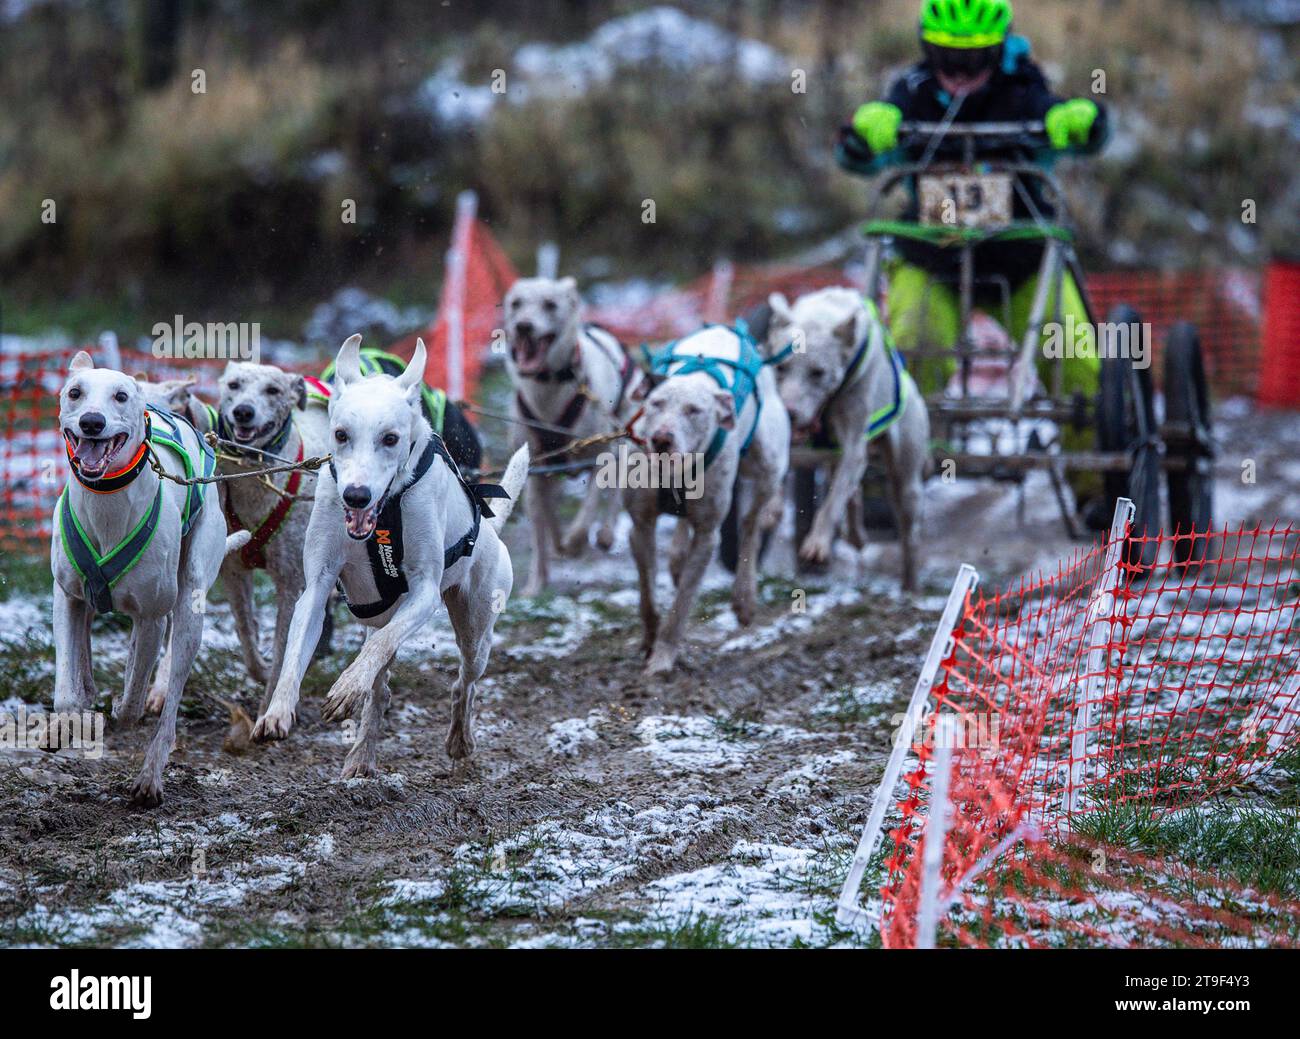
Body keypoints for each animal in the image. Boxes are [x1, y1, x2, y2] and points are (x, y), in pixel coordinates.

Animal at [53, 348, 250, 806]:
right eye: (75, 392)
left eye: (121, 396)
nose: (92, 422)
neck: (105, 499)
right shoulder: (65, 595)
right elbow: (67, 691)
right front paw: (73, 713)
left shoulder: (152, 616)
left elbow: (132, 701)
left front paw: (121, 709)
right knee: (87, 636)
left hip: (190, 606)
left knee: (169, 696)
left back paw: (150, 775)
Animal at [253, 338, 527, 775]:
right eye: (340, 434)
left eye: (391, 438)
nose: (356, 495)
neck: (383, 514)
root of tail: (491, 532)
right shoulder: (317, 586)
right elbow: (295, 653)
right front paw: (277, 711)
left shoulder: (424, 593)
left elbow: (377, 648)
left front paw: (347, 686)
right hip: (381, 614)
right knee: (381, 687)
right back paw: (362, 754)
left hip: (476, 630)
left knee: (463, 681)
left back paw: (459, 737)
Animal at [501, 275, 639, 598]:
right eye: (516, 304)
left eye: (550, 304)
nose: (523, 326)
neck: (549, 388)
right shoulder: (536, 470)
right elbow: (544, 525)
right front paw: (538, 580)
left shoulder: (601, 459)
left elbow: (586, 513)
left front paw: (576, 542)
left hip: (622, 443)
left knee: (616, 492)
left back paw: (605, 533)